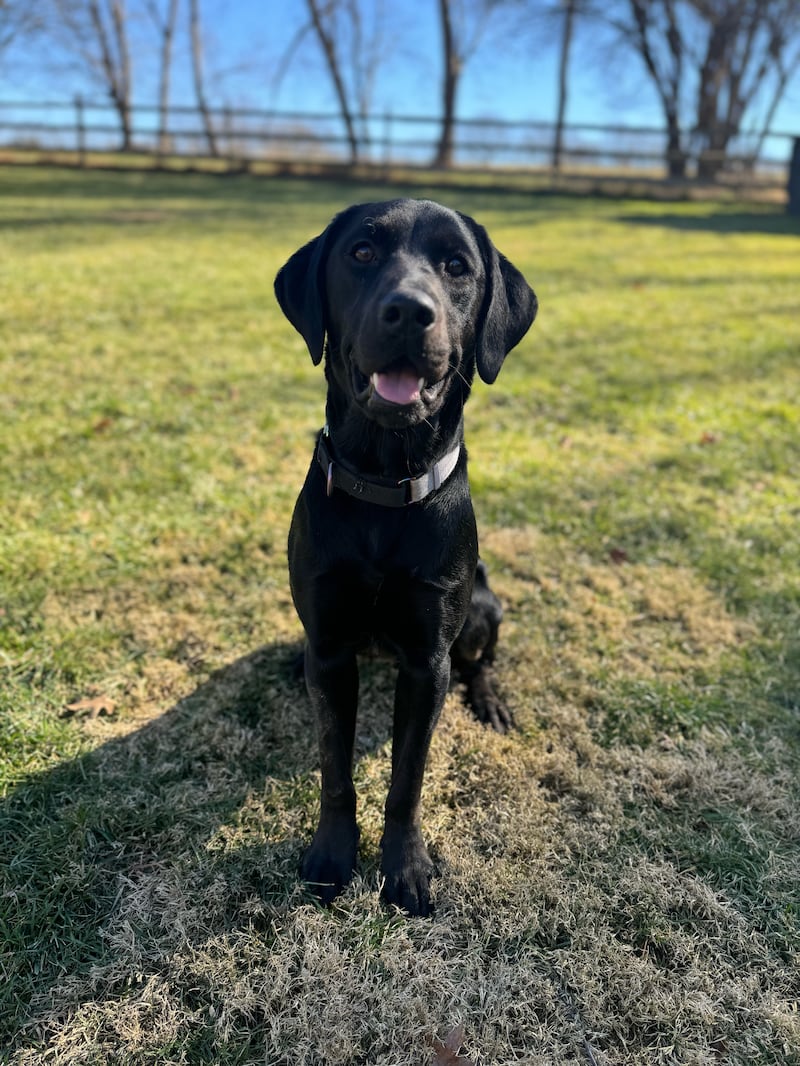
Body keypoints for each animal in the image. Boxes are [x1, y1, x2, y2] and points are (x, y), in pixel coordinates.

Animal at [275, 200, 539, 916]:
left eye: (456, 266)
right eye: (362, 253)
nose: (409, 311)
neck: (385, 482)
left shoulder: (426, 663)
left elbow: (406, 778)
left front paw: (406, 867)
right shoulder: (331, 648)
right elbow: (336, 770)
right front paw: (332, 856)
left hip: (483, 609)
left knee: (479, 660)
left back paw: (492, 701)